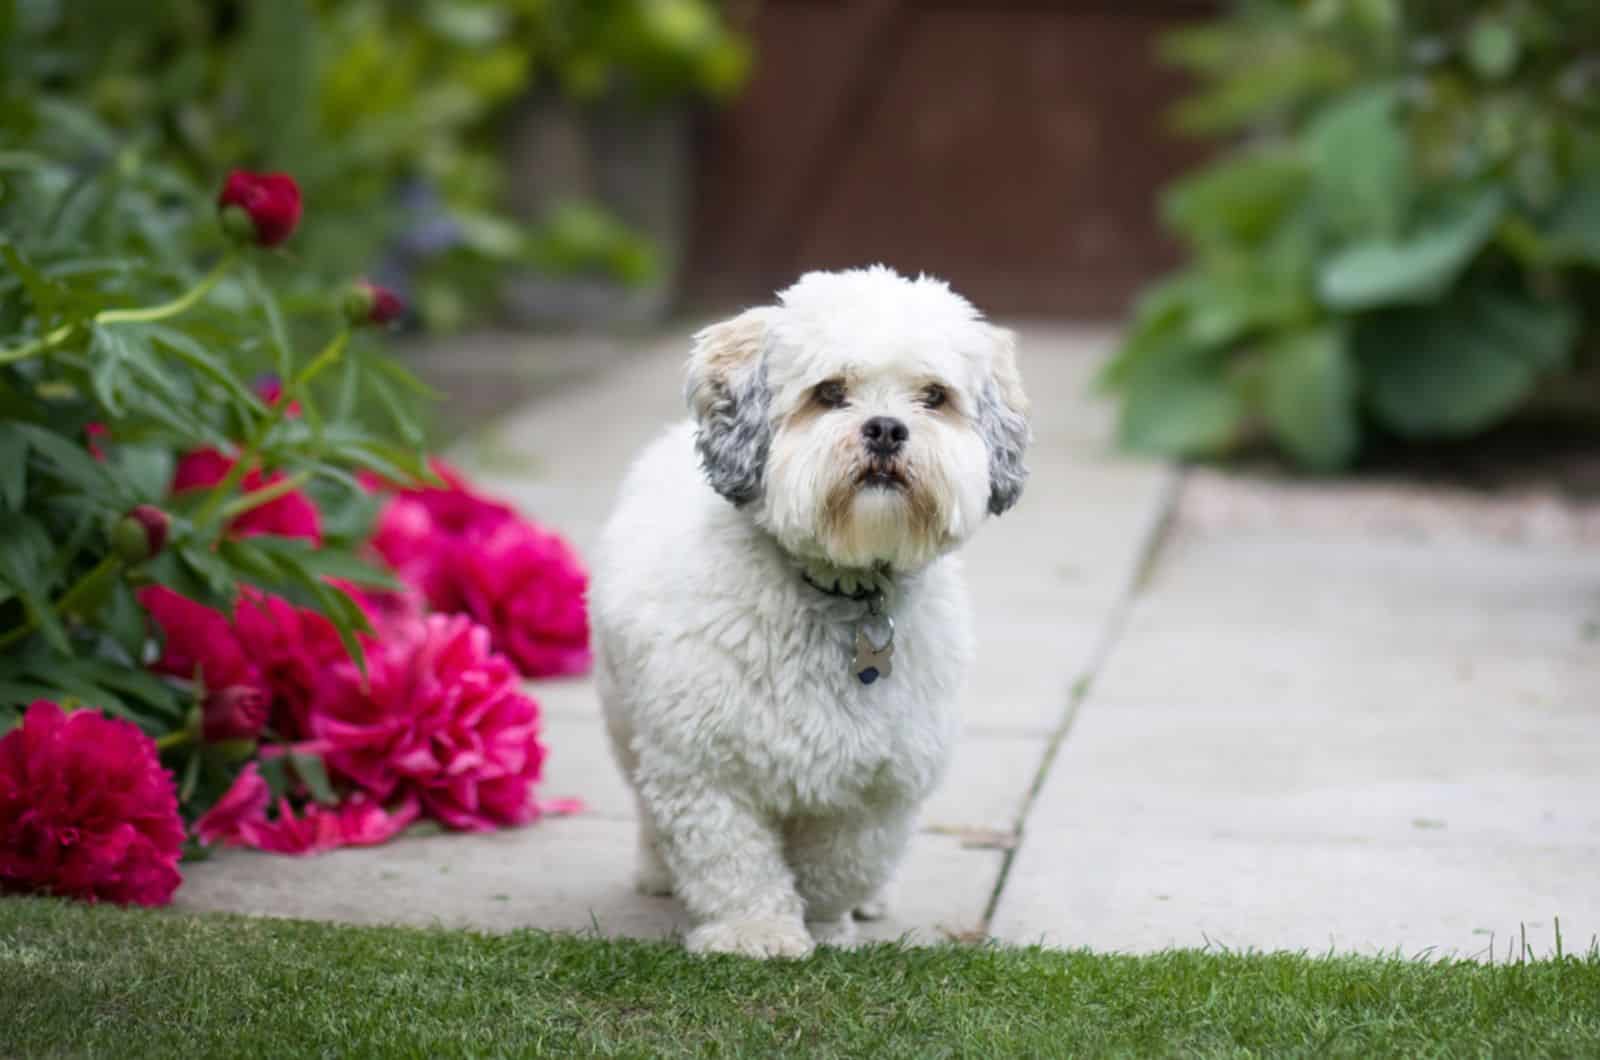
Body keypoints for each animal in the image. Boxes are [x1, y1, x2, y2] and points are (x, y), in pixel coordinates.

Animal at [595, 267, 1030, 960]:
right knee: (643, 802)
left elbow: (838, 864)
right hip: (622, 717)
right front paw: (755, 932)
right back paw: (657, 871)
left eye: (933, 397)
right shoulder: (702, 766)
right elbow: (734, 860)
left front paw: (826, 922)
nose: (886, 428)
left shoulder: (881, 783)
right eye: (830, 393)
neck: (841, 590)